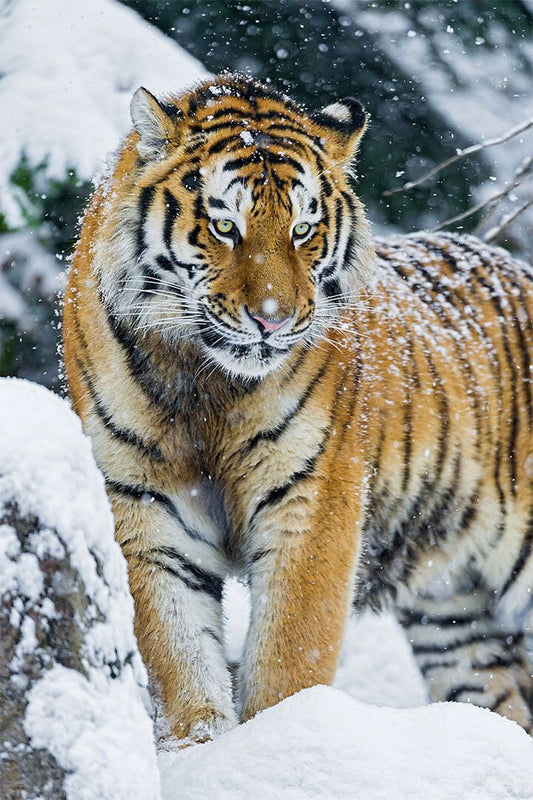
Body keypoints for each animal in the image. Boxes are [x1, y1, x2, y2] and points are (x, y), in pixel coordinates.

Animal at [63, 75, 533, 745]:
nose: (273, 319)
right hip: (458, 619)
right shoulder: (144, 506)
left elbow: (290, 654)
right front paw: (198, 747)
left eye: (304, 229)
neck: (206, 384)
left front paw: (279, 743)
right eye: (224, 225)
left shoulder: (313, 503)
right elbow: (178, 652)